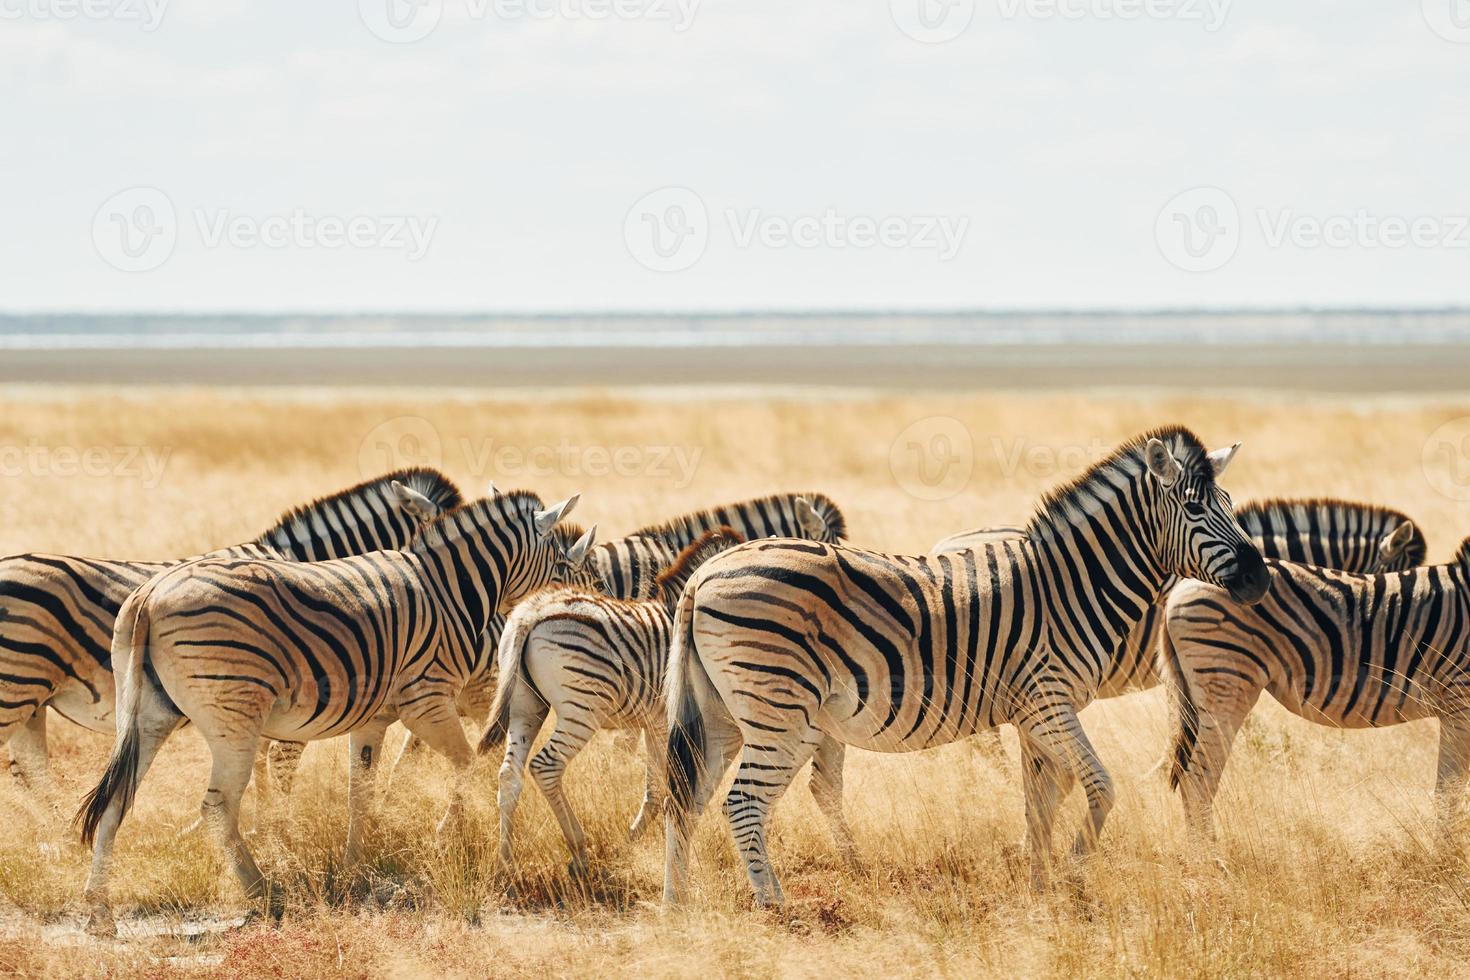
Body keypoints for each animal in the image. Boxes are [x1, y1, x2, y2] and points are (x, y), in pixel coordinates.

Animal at [73, 490, 579, 934]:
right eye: (562, 562)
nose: (571, 609)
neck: (450, 590)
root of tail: (149, 595)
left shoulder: (374, 719)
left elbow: (362, 793)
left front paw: (354, 869)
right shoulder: (426, 700)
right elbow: (466, 764)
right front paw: (443, 835)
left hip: (148, 715)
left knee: (117, 799)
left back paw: (99, 911)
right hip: (234, 720)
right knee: (217, 807)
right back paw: (265, 893)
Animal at [490, 525, 752, 875]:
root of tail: (532, 613)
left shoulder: (654, 723)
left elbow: (655, 790)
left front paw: (631, 840)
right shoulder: (668, 722)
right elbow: (664, 786)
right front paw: (637, 839)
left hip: (525, 706)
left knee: (509, 774)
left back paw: (506, 860)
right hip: (582, 710)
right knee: (546, 766)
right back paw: (578, 851)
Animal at [661, 423, 1270, 905]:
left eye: (1230, 503)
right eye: (1195, 508)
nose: (1261, 579)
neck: (1070, 585)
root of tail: (704, 574)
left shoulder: (1031, 713)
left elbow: (1039, 802)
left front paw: (1039, 889)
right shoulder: (1049, 700)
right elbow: (1099, 785)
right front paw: (1074, 876)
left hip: (723, 715)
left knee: (684, 799)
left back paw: (679, 906)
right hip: (781, 713)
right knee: (742, 805)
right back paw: (774, 908)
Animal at [1158, 537, 1470, 846]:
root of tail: (1180, 588)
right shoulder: (1459, 702)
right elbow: (1450, 791)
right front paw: (1446, 853)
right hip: (1227, 684)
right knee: (1198, 780)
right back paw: (1211, 857)